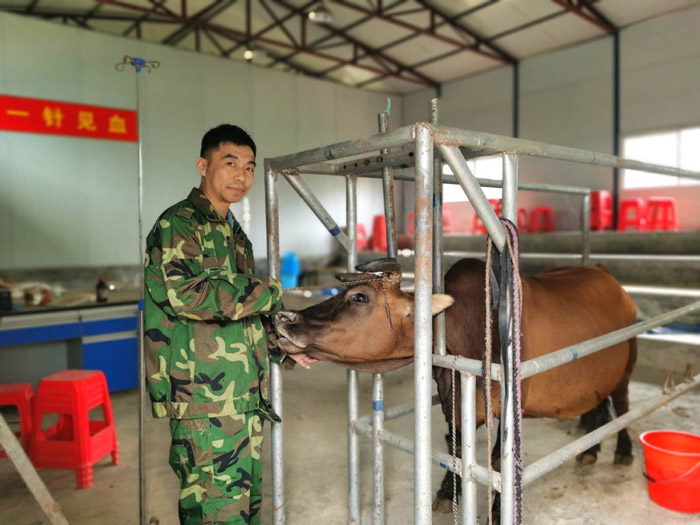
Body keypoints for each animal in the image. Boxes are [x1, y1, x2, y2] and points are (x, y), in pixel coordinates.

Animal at [273, 257, 637, 516]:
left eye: (360, 297)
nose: (283, 318)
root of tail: (604, 273)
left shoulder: (511, 408)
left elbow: (496, 462)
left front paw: (495, 511)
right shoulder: (452, 400)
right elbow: (455, 447)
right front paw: (447, 493)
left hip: (626, 365)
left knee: (622, 406)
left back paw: (623, 451)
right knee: (598, 404)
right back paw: (589, 450)